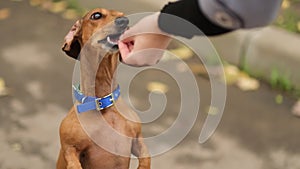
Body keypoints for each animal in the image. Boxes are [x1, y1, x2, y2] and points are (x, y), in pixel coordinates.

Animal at [56, 8, 150, 169]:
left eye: (122, 15)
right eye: (96, 15)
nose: (124, 21)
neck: (104, 103)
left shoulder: (137, 139)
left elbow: (146, 157)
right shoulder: (69, 148)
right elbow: (73, 162)